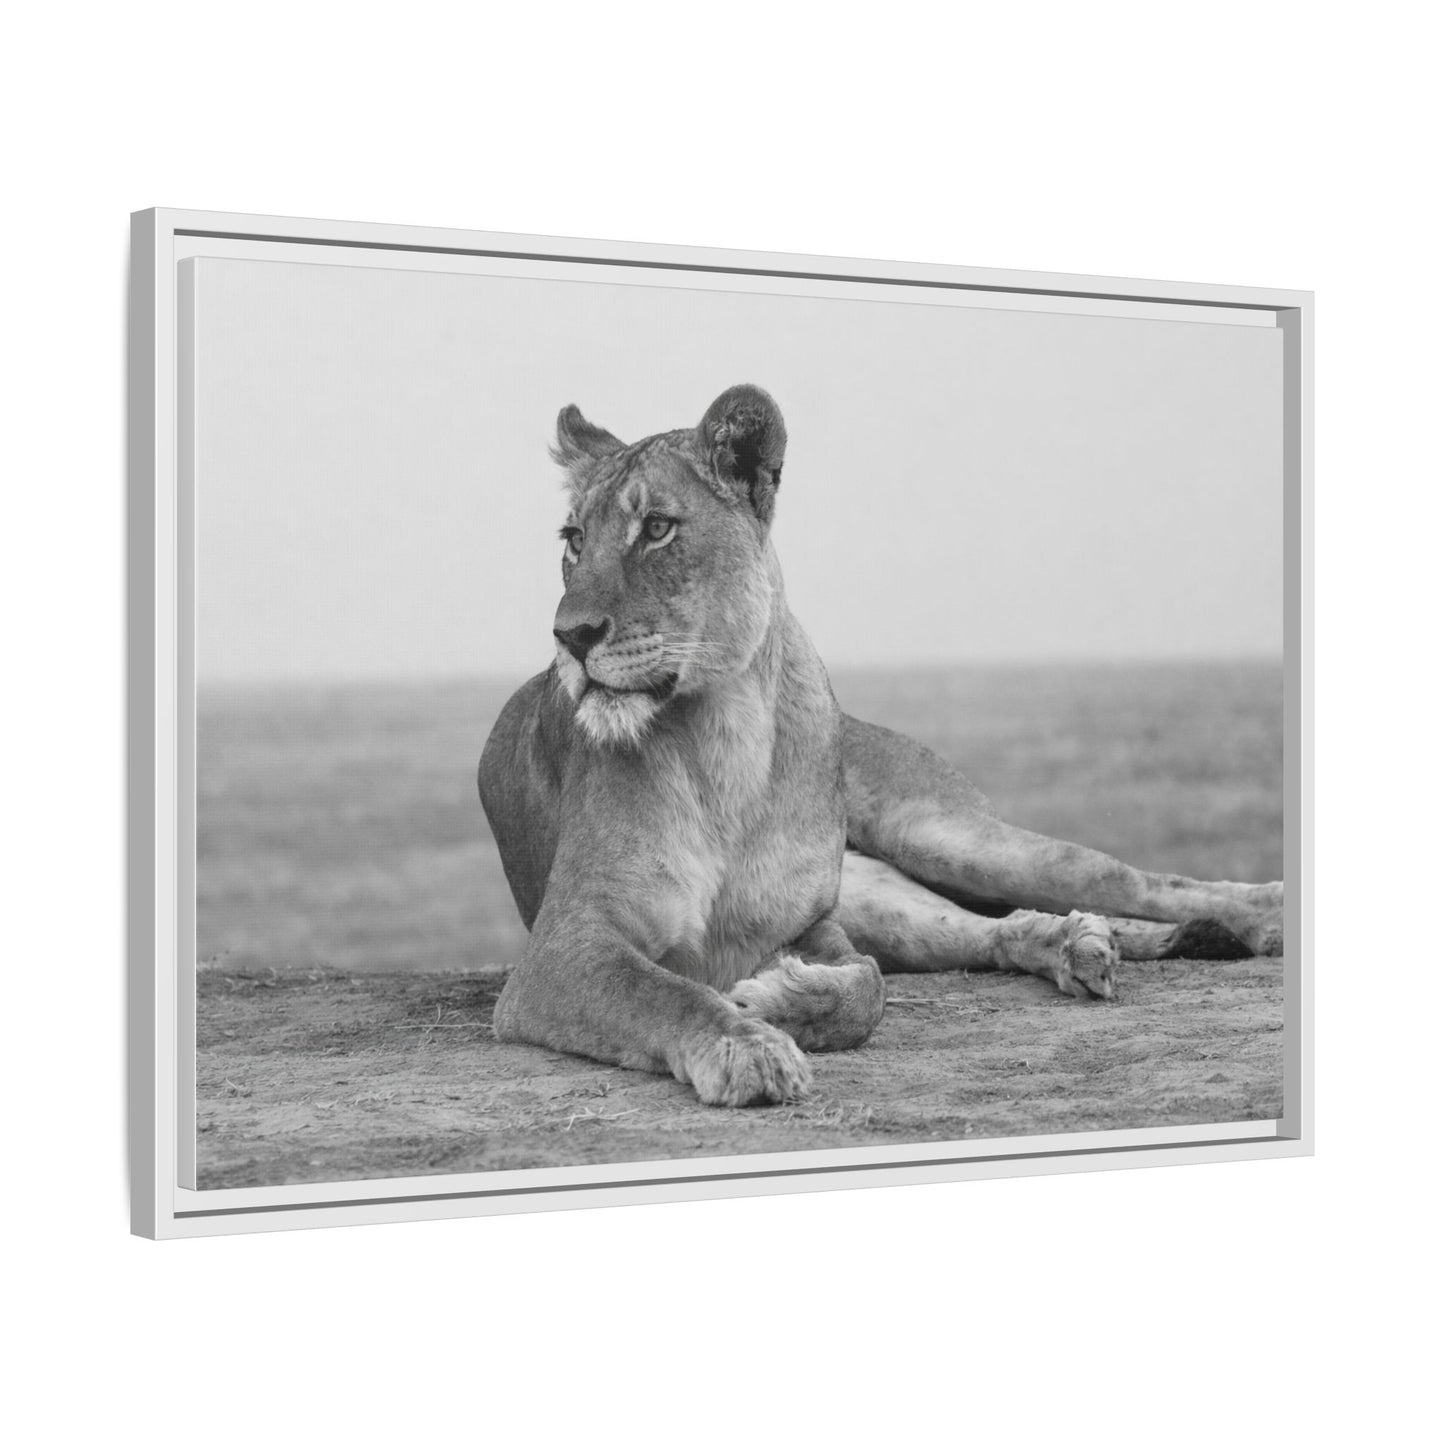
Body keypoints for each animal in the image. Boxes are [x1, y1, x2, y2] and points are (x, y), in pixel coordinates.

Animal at [478, 384, 1285, 1107]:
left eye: (656, 528)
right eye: (573, 541)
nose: (571, 636)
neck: (723, 738)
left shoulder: (811, 923)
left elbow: (864, 993)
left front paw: (771, 999)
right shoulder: (563, 949)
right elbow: (666, 991)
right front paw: (748, 1044)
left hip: (935, 832)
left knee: (1125, 880)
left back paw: (1261, 911)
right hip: (885, 893)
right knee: (992, 929)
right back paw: (1077, 945)